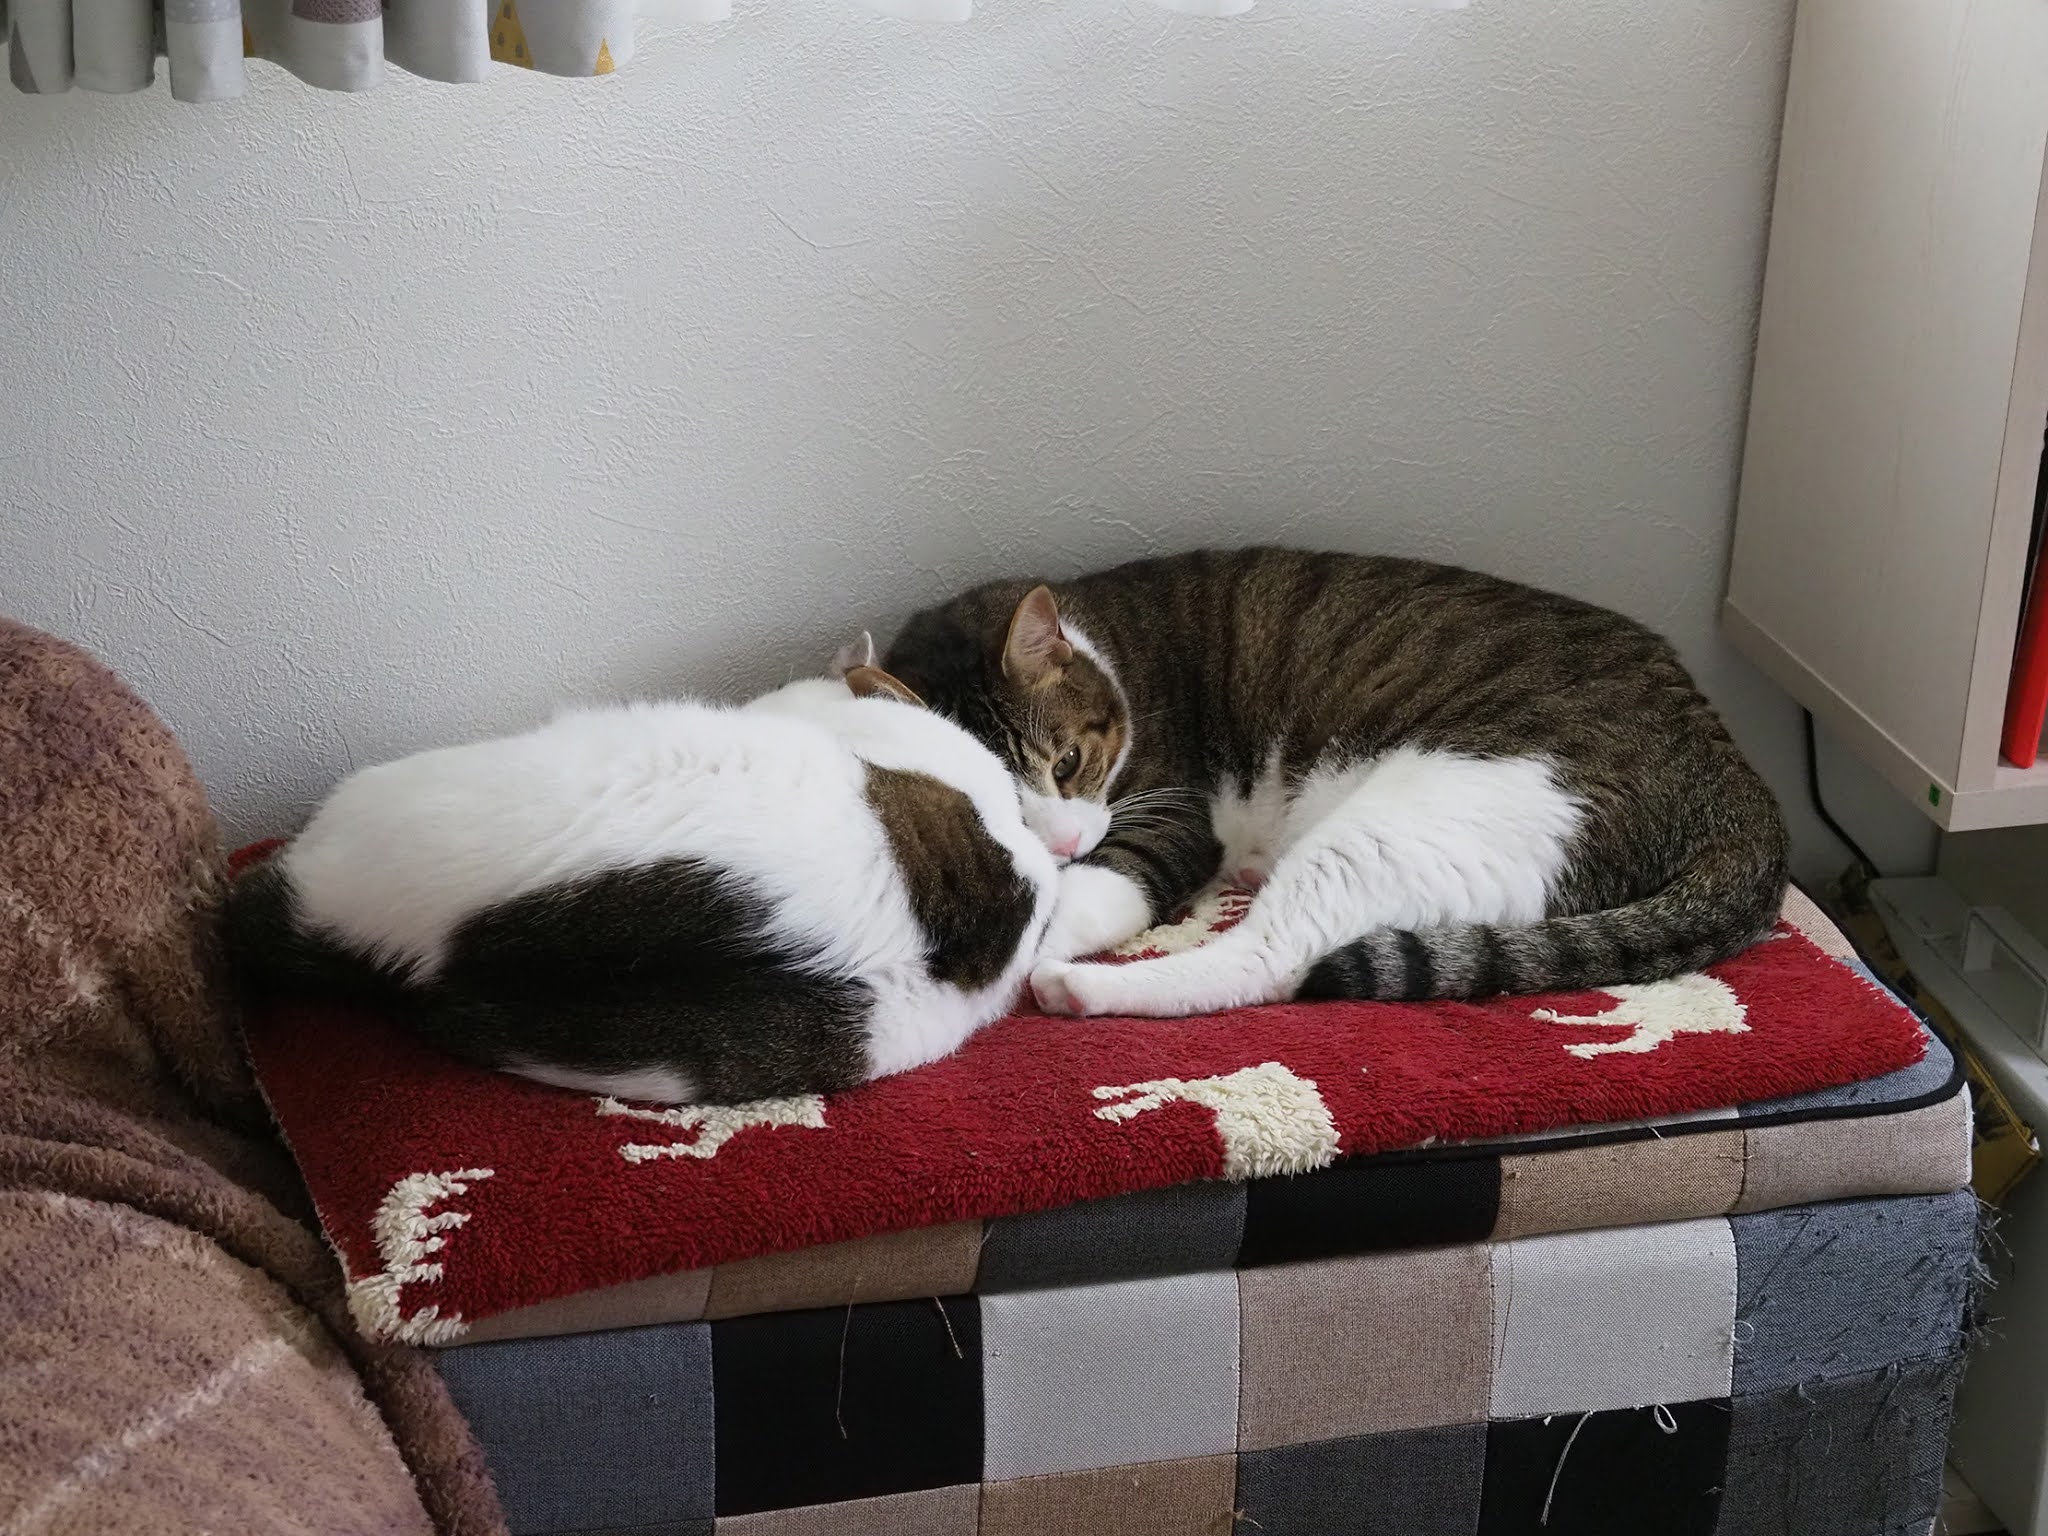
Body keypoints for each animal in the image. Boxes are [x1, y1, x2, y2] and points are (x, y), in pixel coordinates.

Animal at [882, 546, 1789, 1019]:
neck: (1106, 644)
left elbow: (1086, 896)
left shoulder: (1172, 812)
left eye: (1067, 763)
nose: (1067, 840)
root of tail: (1732, 767)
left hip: (1420, 816)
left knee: (1271, 959)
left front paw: (1029, 948)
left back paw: (1081, 989)